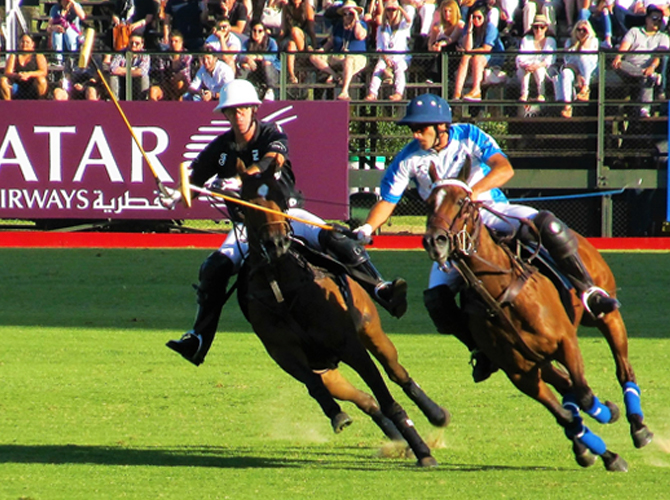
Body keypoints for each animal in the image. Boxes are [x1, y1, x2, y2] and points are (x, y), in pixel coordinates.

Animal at [239, 162, 444, 466]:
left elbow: (388, 398)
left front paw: (423, 452)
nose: (276, 243)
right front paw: (337, 415)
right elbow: (315, 386)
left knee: (397, 374)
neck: (282, 284)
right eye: (248, 202)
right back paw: (395, 439)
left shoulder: (350, 345)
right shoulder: (285, 355)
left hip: (371, 330)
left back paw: (435, 415)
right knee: (365, 399)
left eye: (279, 196)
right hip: (328, 368)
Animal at [426, 161, 652, 472]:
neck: (501, 295)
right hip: (540, 361)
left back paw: (638, 426)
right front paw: (603, 452)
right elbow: (567, 414)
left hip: (606, 315)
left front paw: (608, 414)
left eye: (461, 202)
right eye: (428, 202)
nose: (433, 241)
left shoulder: (565, 342)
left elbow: (584, 395)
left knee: (622, 367)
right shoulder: (520, 372)